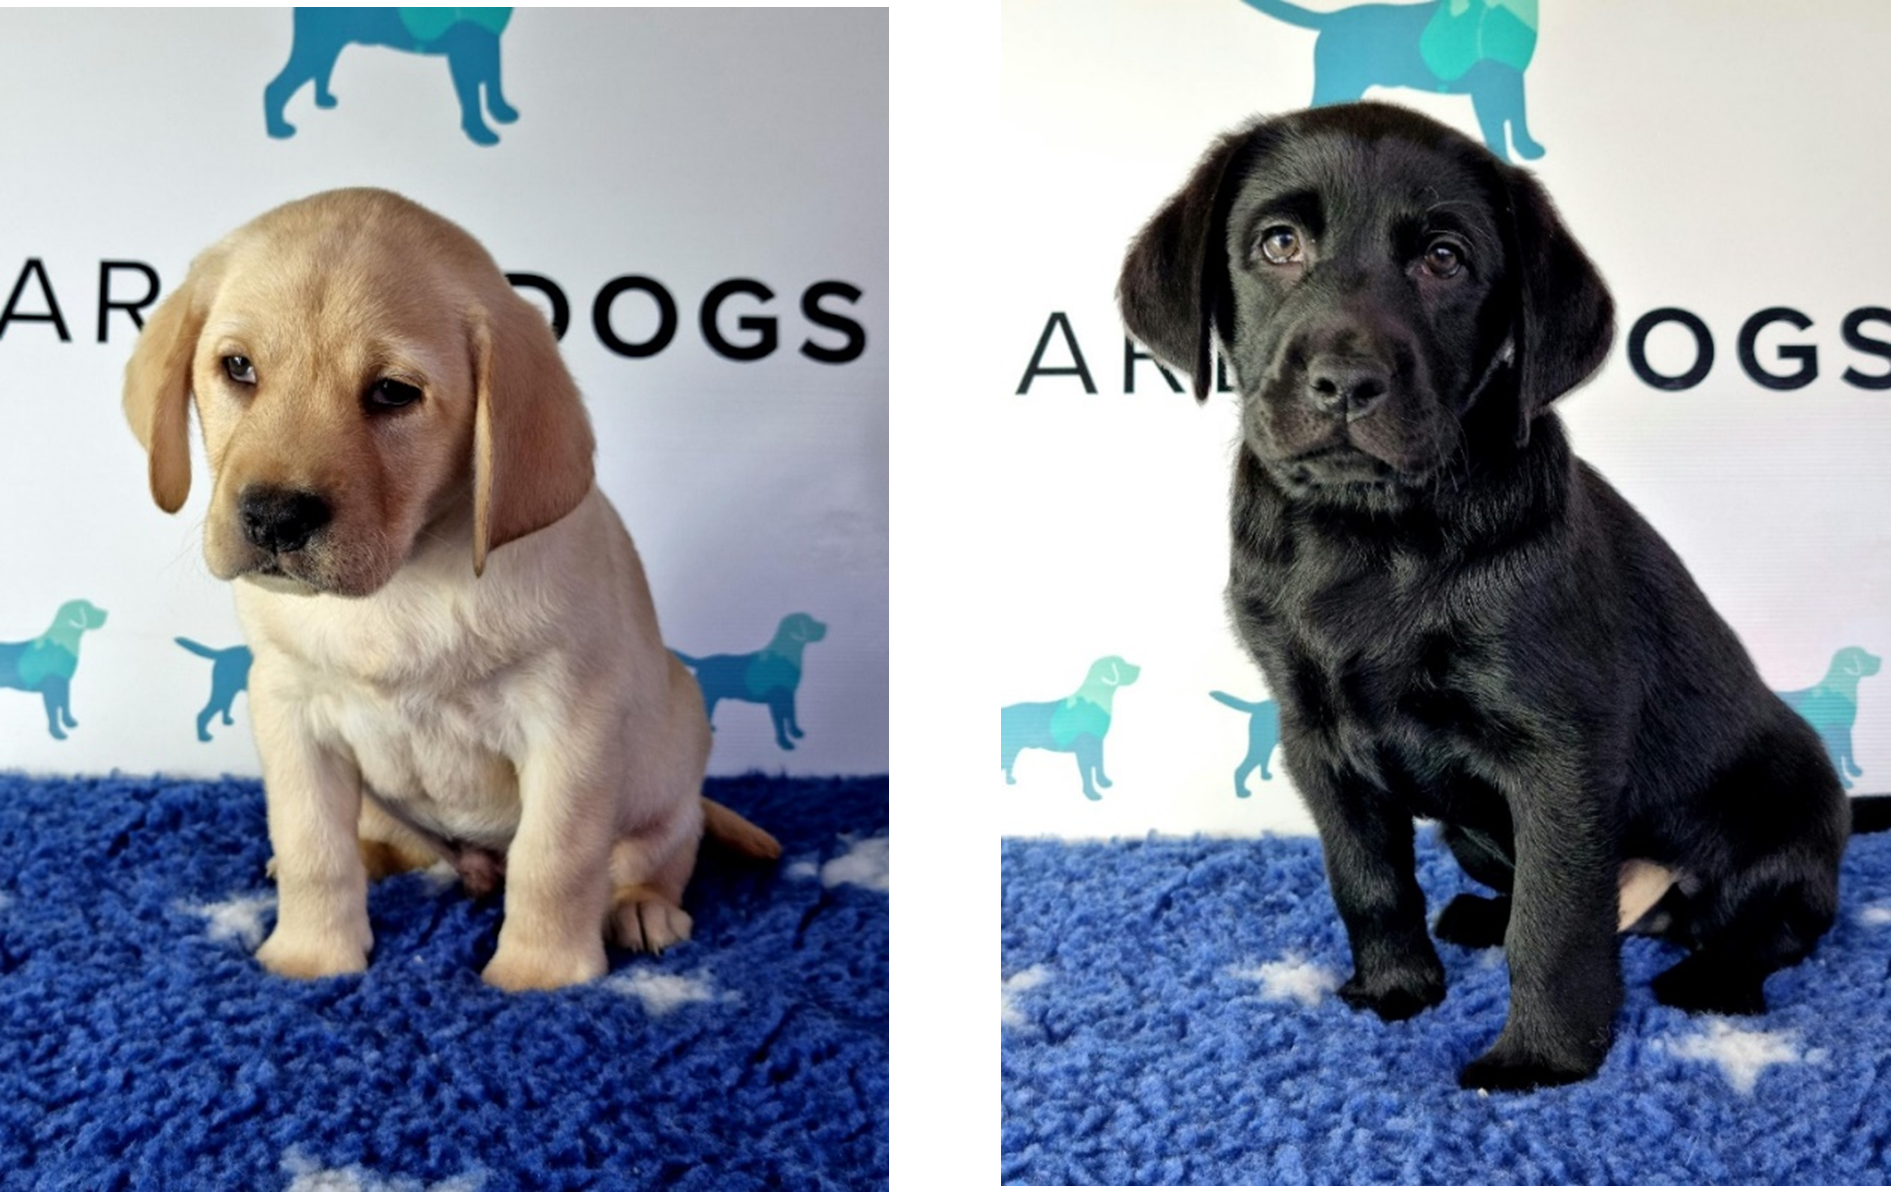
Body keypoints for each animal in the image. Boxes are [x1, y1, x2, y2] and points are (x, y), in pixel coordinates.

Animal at [123, 189, 775, 991]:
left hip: (672, 760)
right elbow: (313, 847)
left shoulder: (571, 726)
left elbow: (555, 859)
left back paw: (643, 907)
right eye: (238, 368)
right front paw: (310, 956)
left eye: (393, 393)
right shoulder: (289, 711)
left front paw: (539, 976)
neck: (399, 584)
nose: (274, 516)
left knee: (659, 850)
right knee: (377, 844)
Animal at [1119, 102, 1845, 1089]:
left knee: (1778, 922)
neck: (1369, 533)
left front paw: (1540, 1060)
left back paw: (1712, 983)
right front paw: (1396, 987)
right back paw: (1475, 918)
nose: (1345, 383)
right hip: (1469, 830)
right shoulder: (1314, 738)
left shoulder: (1558, 753)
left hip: (1787, 805)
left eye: (1444, 258)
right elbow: (1367, 877)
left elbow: (1556, 923)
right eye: (1277, 243)